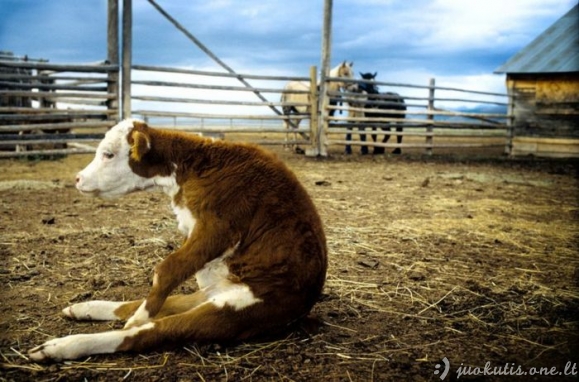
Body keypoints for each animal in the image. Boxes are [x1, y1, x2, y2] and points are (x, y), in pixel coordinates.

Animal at [28, 118, 326, 362]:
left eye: (109, 154)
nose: (78, 178)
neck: (194, 167)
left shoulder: (218, 227)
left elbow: (167, 269)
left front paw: (141, 317)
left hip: (236, 309)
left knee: (151, 332)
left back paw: (61, 346)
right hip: (210, 295)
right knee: (162, 305)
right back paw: (84, 308)